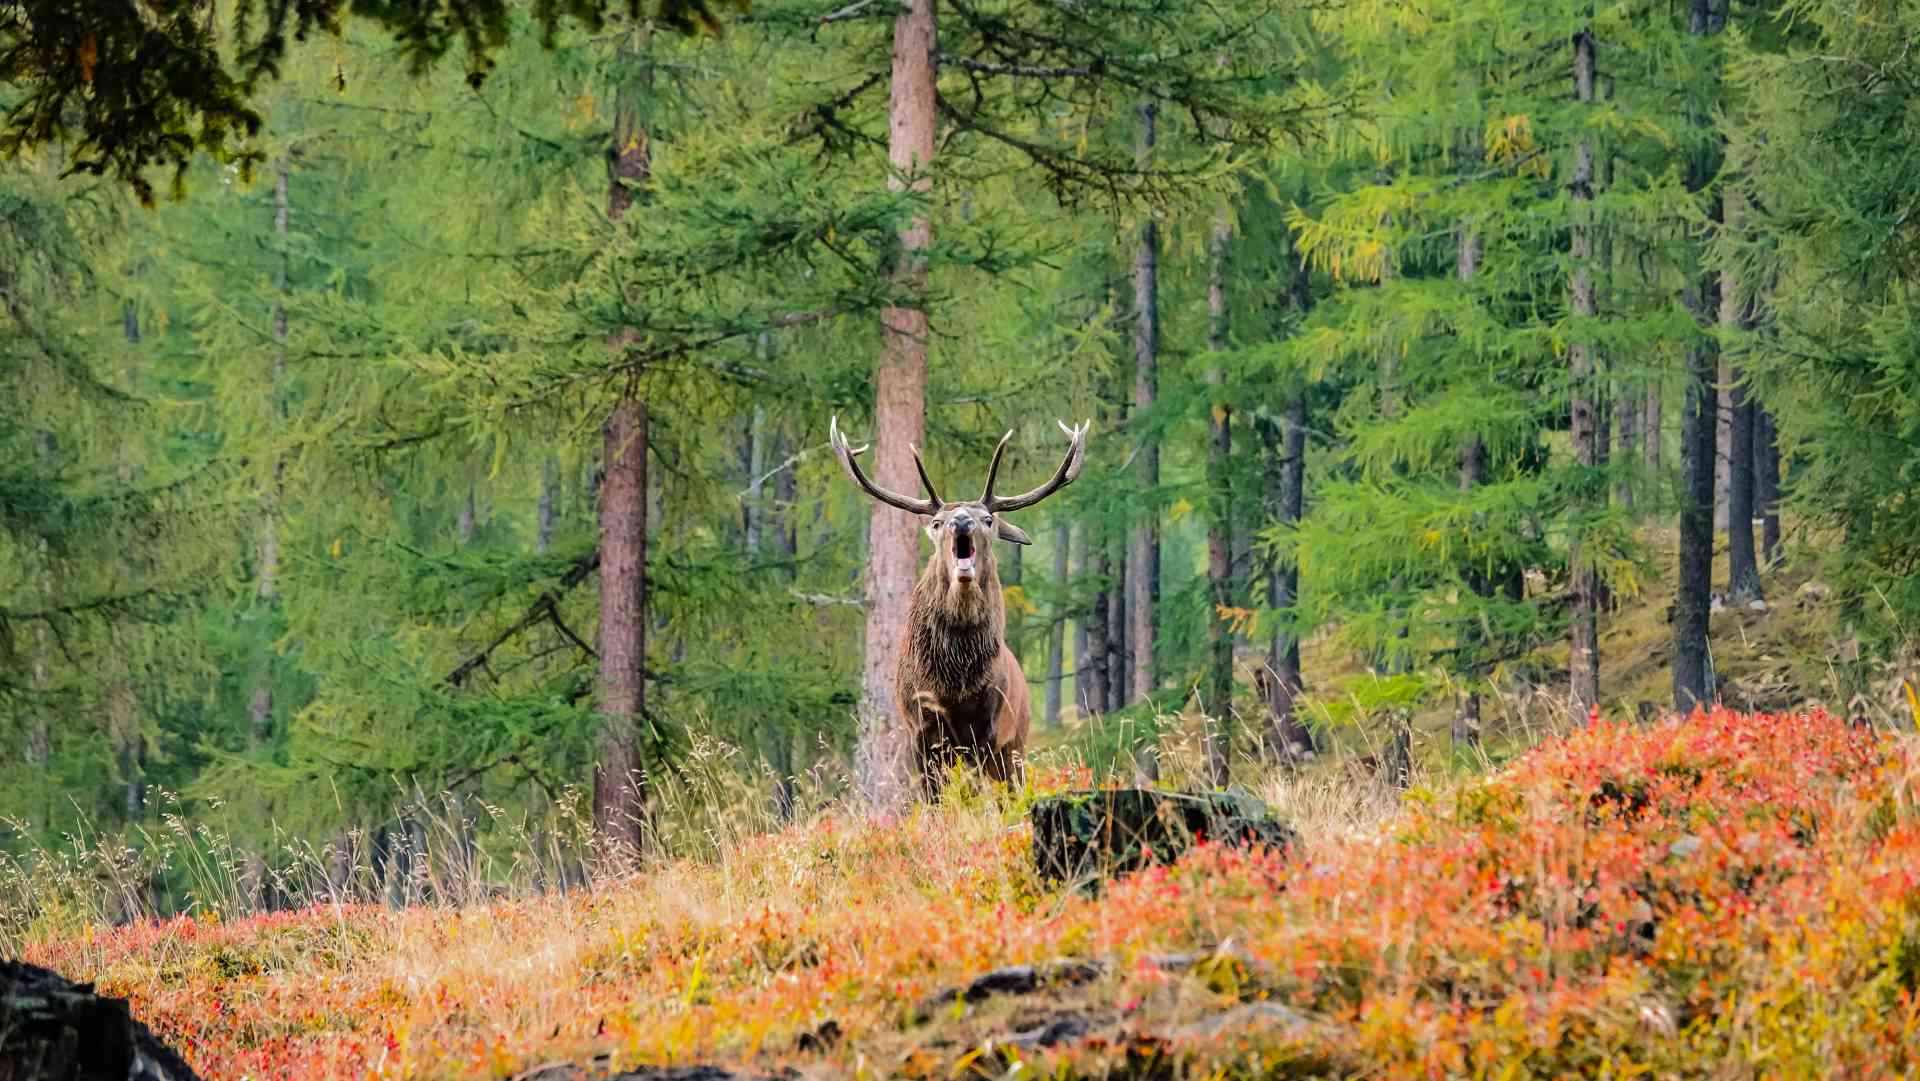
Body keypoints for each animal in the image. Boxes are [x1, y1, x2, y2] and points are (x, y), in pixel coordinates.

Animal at [830, 415, 1090, 799]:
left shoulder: (989, 732)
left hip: (1018, 742)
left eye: (988, 520)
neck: (954, 685)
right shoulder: (920, 730)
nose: (961, 521)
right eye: (937, 523)